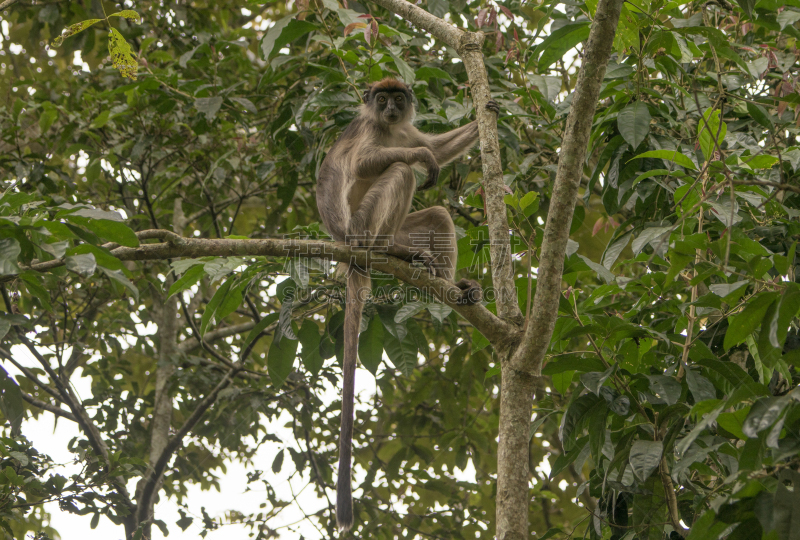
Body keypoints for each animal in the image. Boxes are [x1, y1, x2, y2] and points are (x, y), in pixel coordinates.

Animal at [316, 78, 496, 528]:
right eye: (381, 99)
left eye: (398, 98)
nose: (391, 108)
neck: (388, 127)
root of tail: (347, 249)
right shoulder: (371, 129)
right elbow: (376, 162)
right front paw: (420, 157)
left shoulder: (403, 129)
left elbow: (437, 146)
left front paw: (491, 109)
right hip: (362, 227)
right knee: (397, 170)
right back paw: (392, 251)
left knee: (438, 216)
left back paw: (451, 285)